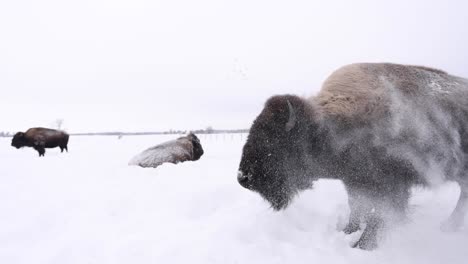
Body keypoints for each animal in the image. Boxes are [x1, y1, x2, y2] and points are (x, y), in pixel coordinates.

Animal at [238, 63, 468, 251]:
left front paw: (364, 246)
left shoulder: (391, 188)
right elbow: (357, 209)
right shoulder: (354, 183)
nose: (243, 178)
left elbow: (378, 217)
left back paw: (448, 226)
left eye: (272, 140)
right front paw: (346, 233)